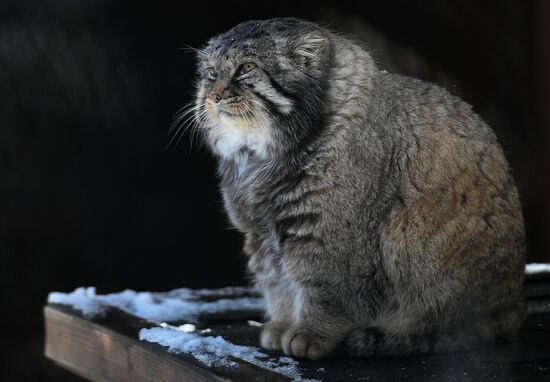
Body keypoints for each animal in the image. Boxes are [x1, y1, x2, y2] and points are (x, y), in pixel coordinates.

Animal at [188, 17, 528, 358]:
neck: (259, 158)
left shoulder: (325, 235)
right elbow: (277, 285)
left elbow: (323, 291)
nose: (214, 96)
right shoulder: (261, 235)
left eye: (246, 68)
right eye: (211, 73)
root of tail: (512, 309)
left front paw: (311, 333)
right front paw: (282, 324)